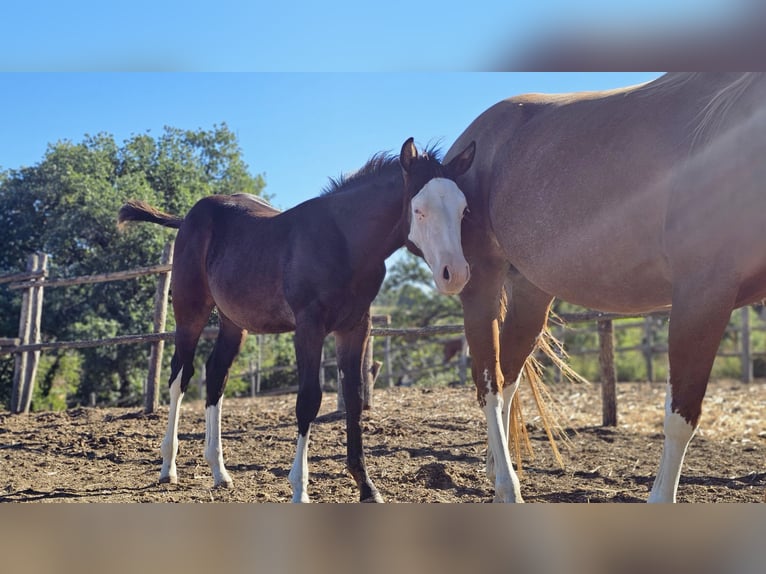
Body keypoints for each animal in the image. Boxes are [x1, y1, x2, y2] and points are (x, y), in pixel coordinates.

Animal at [118, 137, 476, 502]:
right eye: (419, 210)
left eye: (464, 210)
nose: (455, 274)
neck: (344, 243)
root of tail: (190, 216)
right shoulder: (309, 327)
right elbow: (308, 400)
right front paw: (300, 489)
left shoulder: (355, 327)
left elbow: (354, 397)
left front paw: (366, 486)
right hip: (190, 310)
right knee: (180, 375)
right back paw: (168, 468)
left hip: (234, 321)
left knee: (216, 374)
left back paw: (220, 472)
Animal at [444, 73, 766, 502]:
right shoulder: (701, 297)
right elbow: (681, 415)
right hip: (480, 282)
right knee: (489, 385)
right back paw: (508, 488)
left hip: (531, 291)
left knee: (507, 377)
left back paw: (499, 469)